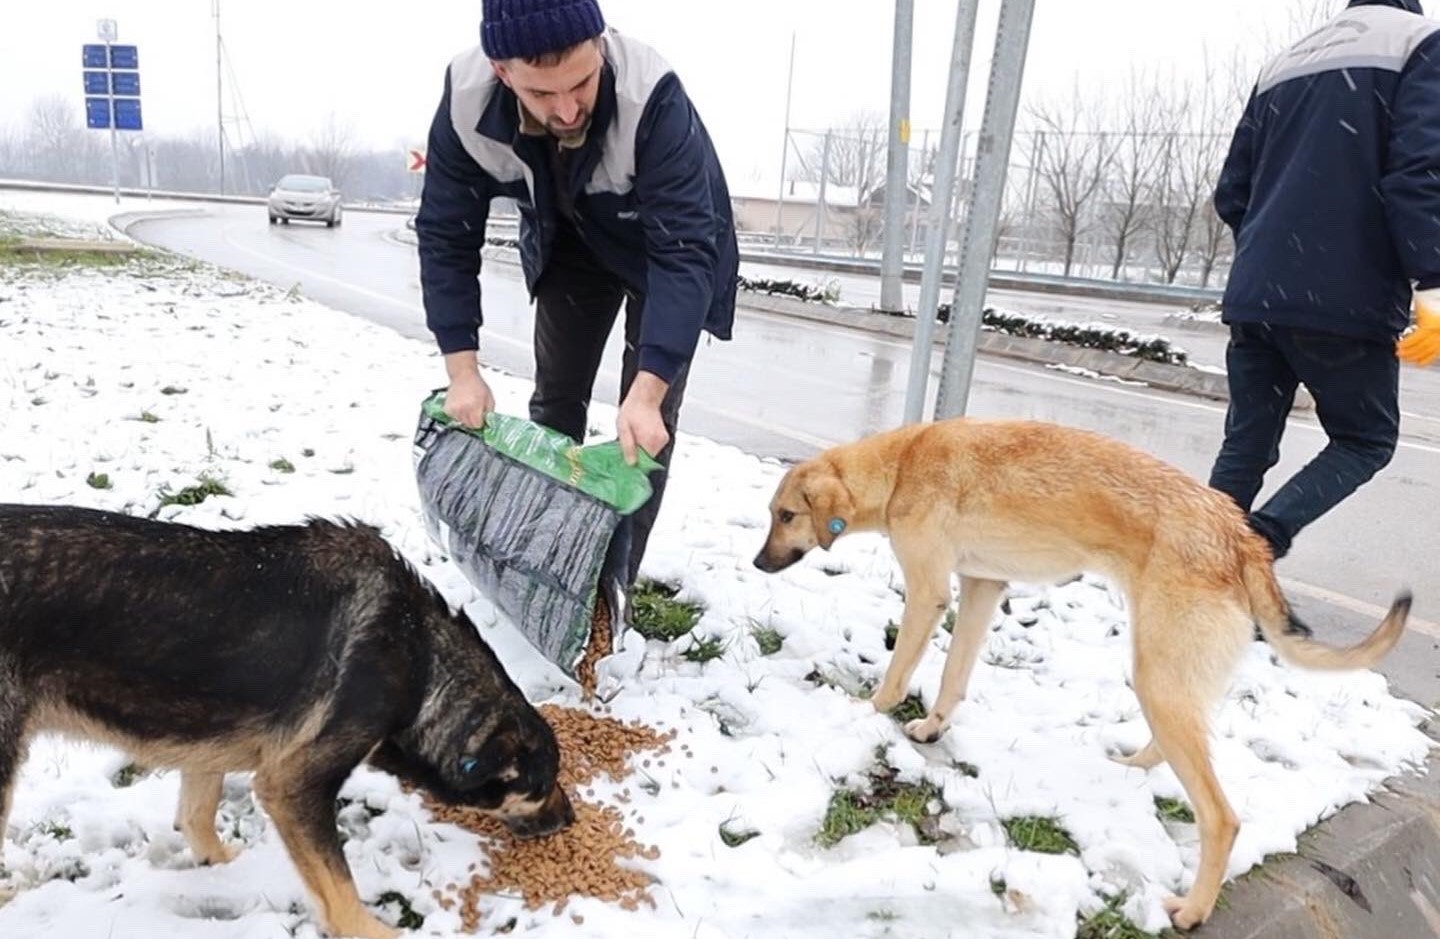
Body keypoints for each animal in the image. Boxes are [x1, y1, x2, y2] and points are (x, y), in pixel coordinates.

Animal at [0, 506, 573, 938]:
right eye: (543, 784)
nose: (570, 819)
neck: (422, 662)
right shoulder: (292, 786)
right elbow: (339, 887)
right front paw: (368, 930)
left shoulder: (209, 742)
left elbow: (198, 815)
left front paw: (224, 866)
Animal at [754, 420, 1405, 933]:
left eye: (786, 516)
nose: (758, 563)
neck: (902, 465)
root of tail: (1241, 537)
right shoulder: (982, 587)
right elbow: (954, 676)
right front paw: (933, 726)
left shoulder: (929, 593)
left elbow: (899, 672)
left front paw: (867, 712)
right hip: (1168, 680)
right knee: (1177, 747)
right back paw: (1134, 769)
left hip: (1157, 677)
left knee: (1220, 817)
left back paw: (1193, 910)